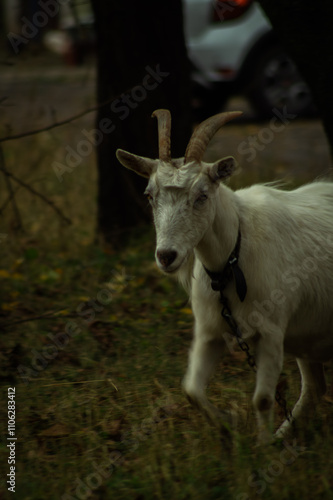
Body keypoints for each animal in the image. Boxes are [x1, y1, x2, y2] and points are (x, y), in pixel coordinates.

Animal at [116, 109, 332, 442]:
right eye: (149, 195)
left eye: (202, 195)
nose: (166, 256)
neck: (231, 262)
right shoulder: (210, 332)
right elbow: (191, 390)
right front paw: (230, 424)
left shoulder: (271, 333)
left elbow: (263, 399)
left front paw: (262, 446)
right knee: (314, 389)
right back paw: (284, 437)